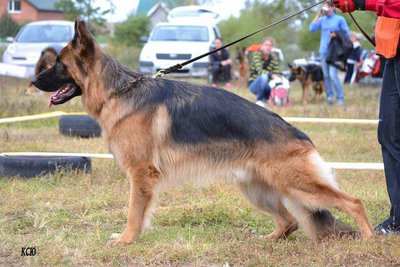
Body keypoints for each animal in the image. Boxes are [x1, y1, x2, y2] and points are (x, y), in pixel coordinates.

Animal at [32, 17, 376, 246]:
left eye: (59, 64)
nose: (33, 81)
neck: (118, 91)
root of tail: (300, 135)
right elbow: (139, 212)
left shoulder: (141, 173)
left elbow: (133, 211)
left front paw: (127, 240)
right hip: (256, 188)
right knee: (290, 221)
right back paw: (268, 239)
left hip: (295, 184)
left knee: (353, 202)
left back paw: (370, 238)